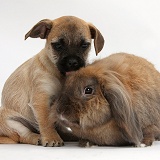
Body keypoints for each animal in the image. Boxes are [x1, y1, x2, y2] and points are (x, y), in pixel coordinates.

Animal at [0, 15, 104, 146]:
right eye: (58, 46)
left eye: (84, 45)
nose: (73, 62)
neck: (60, 76)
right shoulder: (41, 100)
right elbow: (46, 121)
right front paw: (51, 138)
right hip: (11, 122)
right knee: (23, 136)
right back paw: (37, 138)